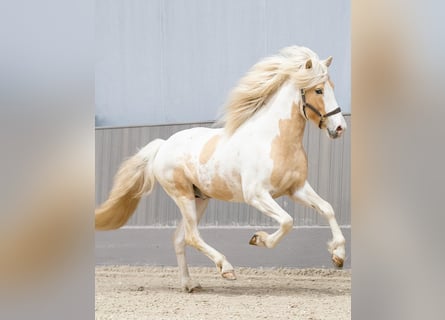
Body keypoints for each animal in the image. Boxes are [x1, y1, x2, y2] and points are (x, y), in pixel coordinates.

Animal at [95, 45, 346, 292]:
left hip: (199, 199)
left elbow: (327, 209)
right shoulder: (256, 195)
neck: (274, 140)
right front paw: (258, 239)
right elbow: (287, 221)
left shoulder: (296, 189)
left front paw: (338, 255)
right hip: (183, 195)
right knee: (191, 236)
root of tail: (163, 145)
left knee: (179, 238)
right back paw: (226, 268)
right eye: (319, 90)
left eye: (332, 87)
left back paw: (190, 284)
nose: (340, 128)